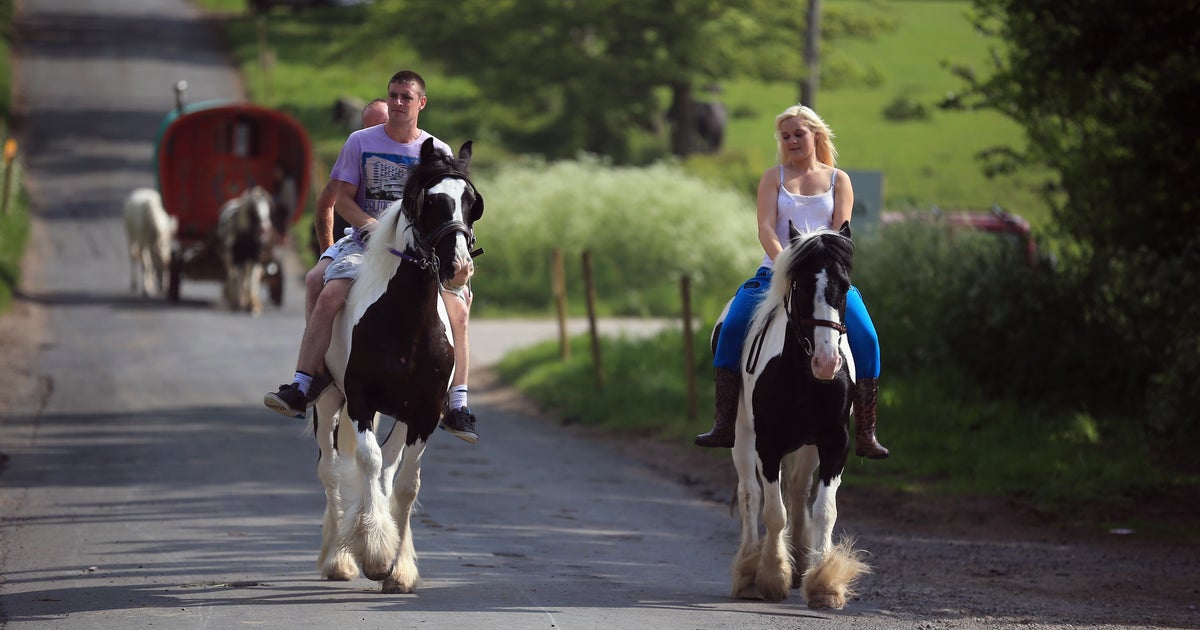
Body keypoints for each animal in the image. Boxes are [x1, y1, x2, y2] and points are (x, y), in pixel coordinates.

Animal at [216, 185, 275, 315]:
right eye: (254, 209)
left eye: (268, 207)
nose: (266, 228)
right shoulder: (237, 259)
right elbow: (238, 279)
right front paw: (240, 302)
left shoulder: (255, 258)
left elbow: (251, 280)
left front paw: (253, 305)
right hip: (228, 257)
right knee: (233, 276)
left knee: (248, 278)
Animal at [311, 137, 483, 594]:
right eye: (431, 201)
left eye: (472, 202)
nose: (459, 267)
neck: (407, 323)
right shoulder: (361, 401)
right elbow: (366, 463)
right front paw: (372, 554)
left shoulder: (423, 412)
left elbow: (405, 484)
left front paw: (398, 569)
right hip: (329, 400)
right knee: (332, 470)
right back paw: (338, 558)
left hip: (403, 415)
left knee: (387, 467)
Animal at [720, 221, 870, 608]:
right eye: (800, 286)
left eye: (844, 287)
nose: (827, 362)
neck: (804, 375)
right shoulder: (768, 444)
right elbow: (773, 512)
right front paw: (773, 576)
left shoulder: (834, 443)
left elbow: (824, 509)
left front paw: (824, 582)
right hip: (742, 437)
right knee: (749, 494)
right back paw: (749, 570)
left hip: (806, 447)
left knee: (800, 491)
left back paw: (802, 560)